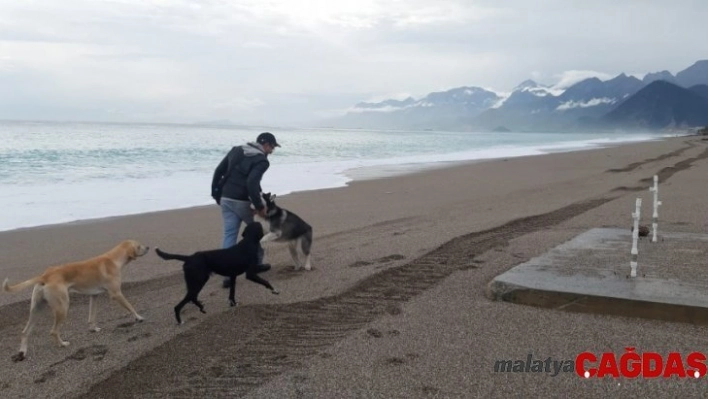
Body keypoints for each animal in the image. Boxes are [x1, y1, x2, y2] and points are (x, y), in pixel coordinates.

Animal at [2, 241, 149, 362]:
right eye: (138, 246)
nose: (148, 247)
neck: (114, 259)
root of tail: (45, 276)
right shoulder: (116, 294)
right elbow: (130, 307)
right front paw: (139, 317)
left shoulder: (94, 296)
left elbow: (92, 316)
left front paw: (93, 328)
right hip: (63, 307)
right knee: (53, 331)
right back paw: (62, 344)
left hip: (37, 309)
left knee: (24, 332)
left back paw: (22, 353)